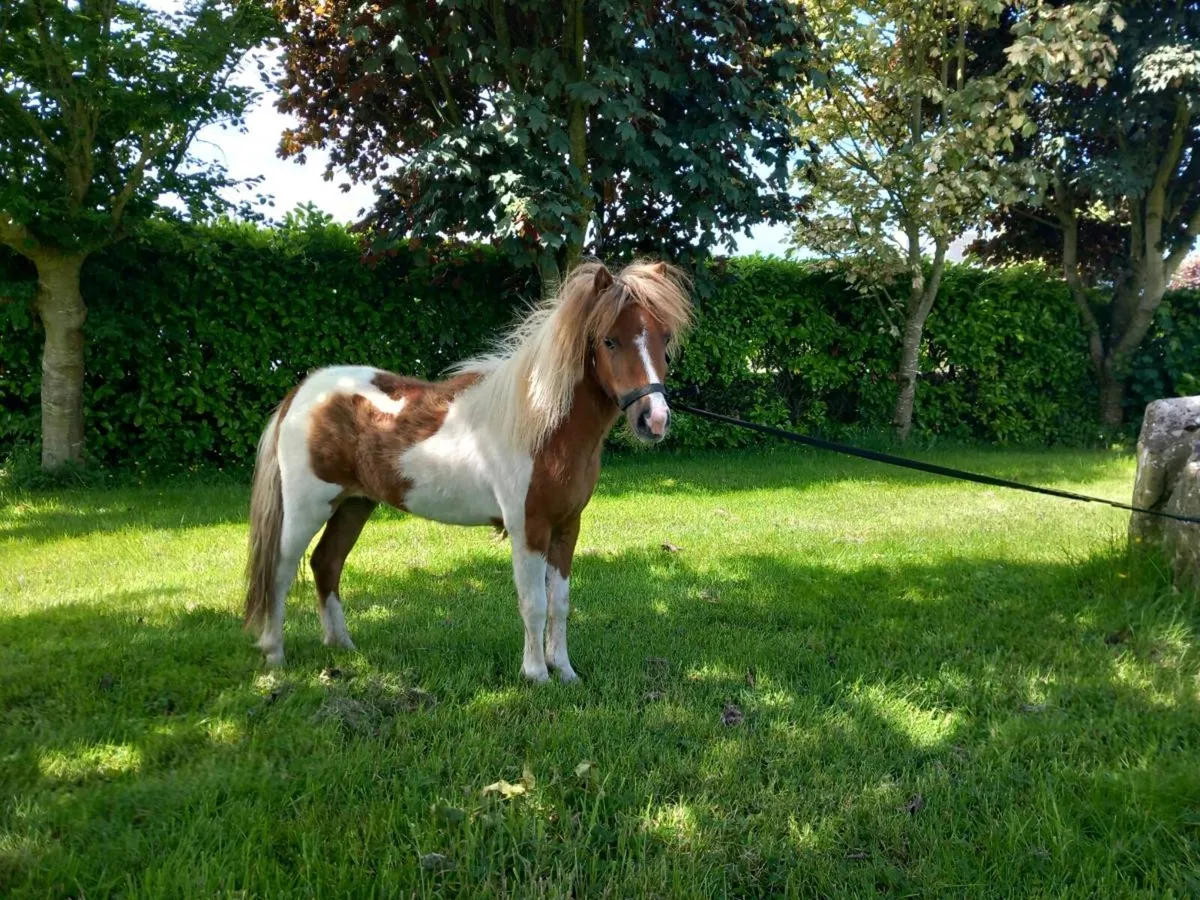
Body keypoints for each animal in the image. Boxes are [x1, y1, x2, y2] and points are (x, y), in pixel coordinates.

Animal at [243, 260, 694, 682]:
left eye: (664, 338)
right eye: (609, 340)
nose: (654, 420)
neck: (541, 426)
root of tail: (303, 392)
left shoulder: (567, 527)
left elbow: (561, 604)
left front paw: (565, 671)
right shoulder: (528, 528)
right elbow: (534, 603)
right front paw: (536, 674)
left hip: (355, 504)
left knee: (326, 563)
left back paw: (342, 646)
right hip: (307, 509)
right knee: (279, 572)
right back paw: (275, 656)